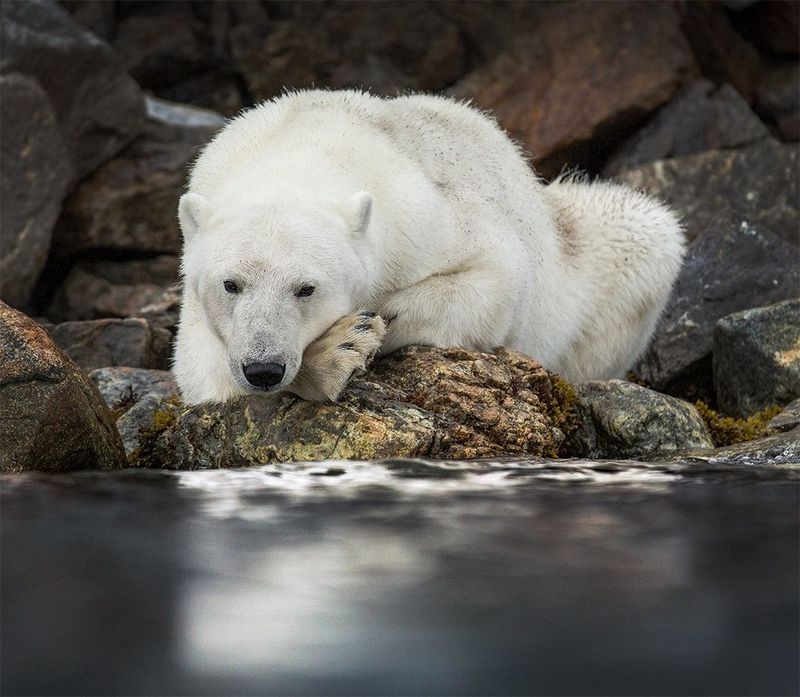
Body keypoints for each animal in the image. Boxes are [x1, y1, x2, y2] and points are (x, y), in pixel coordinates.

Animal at [174, 90, 684, 405]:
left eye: (306, 288)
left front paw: (363, 327)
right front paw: (338, 349)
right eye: (231, 284)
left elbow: (497, 281)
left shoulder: (422, 215)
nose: (263, 367)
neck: (305, 152)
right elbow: (201, 371)